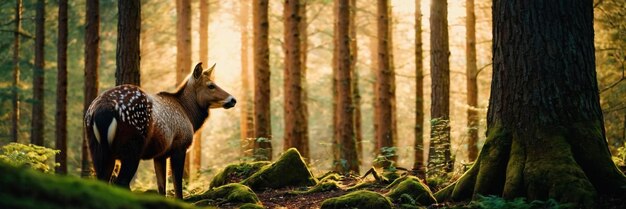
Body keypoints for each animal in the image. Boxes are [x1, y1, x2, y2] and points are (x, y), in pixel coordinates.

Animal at [84, 62, 235, 198]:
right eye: (211, 85)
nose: (233, 99)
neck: (190, 116)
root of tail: (101, 111)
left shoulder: (160, 155)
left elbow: (162, 188)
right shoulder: (180, 146)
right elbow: (177, 186)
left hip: (97, 148)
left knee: (102, 180)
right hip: (132, 147)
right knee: (121, 182)